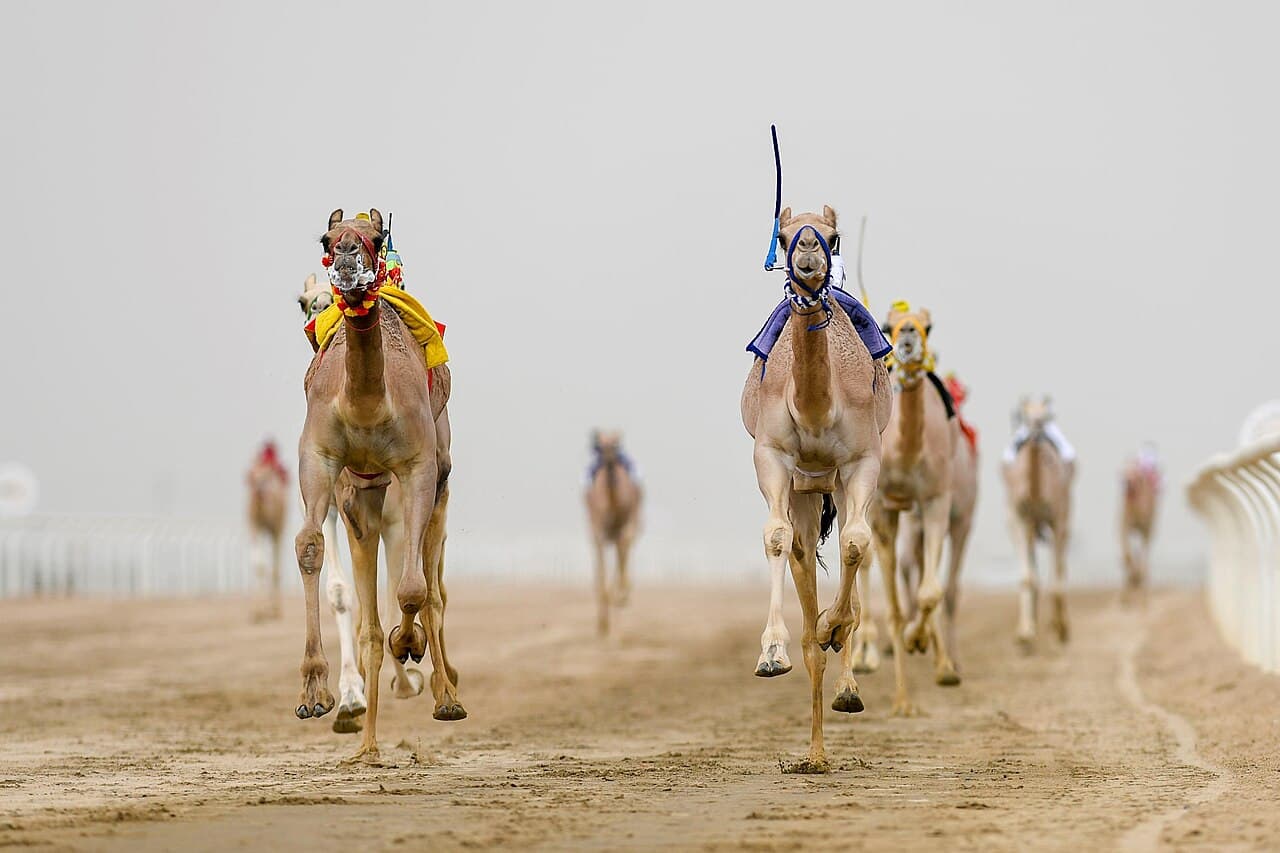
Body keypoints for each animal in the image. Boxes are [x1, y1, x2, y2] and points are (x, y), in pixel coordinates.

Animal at [294, 209, 461, 763]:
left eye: (377, 236)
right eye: (326, 239)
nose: (347, 257)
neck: (367, 403)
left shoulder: (418, 467)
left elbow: (412, 588)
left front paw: (407, 648)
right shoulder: (324, 466)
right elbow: (311, 551)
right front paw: (319, 694)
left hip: (438, 485)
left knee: (431, 588)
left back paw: (444, 694)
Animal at [584, 431, 642, 635]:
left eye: (616, 444)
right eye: (599, 445)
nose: (609, 460)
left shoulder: (625, 529)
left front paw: (621, 596)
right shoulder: (600, 532)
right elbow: (602, 576)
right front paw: (604, 624)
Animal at [741, 205, 891, 772]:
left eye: (833, 235)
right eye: (783, 235)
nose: (807, 251)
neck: (815, 408)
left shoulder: (861, 462)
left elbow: (855, 544)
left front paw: (835, 627)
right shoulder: (772, 457)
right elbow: (777, 539)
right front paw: (770, 654)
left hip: (835, 485)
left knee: (851, 549)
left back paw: (844, 687)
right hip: (807, 489)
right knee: (803, 555)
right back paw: (814, 750)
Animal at [1003, 396, 1075, 650]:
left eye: (1044, 418)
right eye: (1025, 417)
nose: (1035, 432)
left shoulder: (1058, 518)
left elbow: (1057, 574)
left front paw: (1062, 629)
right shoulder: (1019, 519)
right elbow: (1028, 578)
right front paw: (1025, 634)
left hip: (1063, 516)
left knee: (1060, 566)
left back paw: (1059, 625)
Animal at [1120, 444, 1161, 604]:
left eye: (1136, 472)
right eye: (1122, 469)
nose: (1126, 480)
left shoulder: (1146, 530)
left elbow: (1143, 559)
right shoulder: (1125, 525)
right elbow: (1126, 555)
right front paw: (1133, 578)